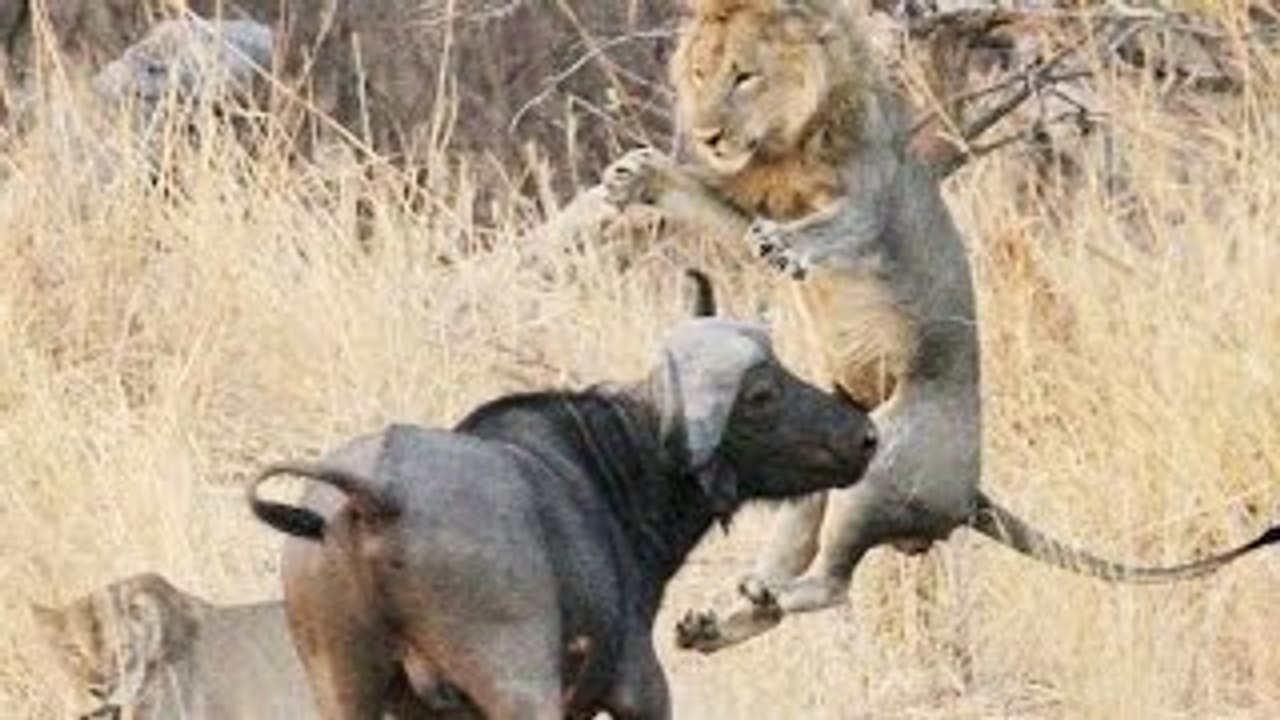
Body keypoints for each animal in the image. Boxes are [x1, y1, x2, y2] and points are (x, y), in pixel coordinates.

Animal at [600, 0, 1280, 653]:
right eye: (700, 73)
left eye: (744, 76)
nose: (708, 135)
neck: (787, 142)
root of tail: (970, 490)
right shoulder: (747, 203)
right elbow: (702, 198)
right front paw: (636, 175)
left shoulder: (874, 202)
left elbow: (838, 227)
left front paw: (785, 243)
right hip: (816, 459)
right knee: (792, 578)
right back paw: (718, 620)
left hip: (882, 466)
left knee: (832, 586)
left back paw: (769, 595)